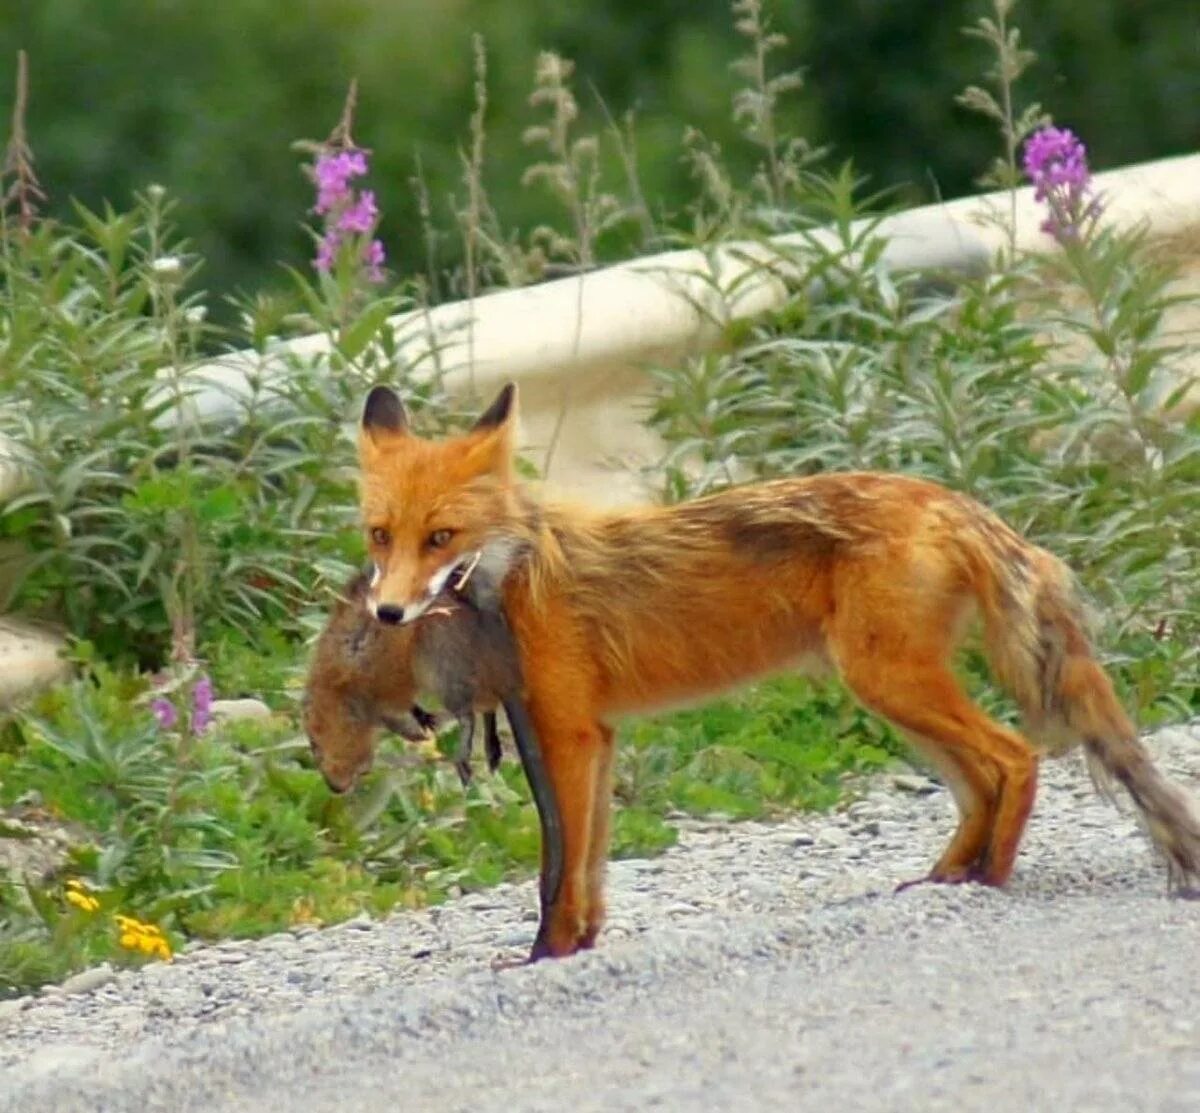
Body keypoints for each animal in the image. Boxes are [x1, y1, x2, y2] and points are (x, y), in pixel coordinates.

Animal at [352, 381, 1200, 954]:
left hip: (890, 683)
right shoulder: (594, 735)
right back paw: (948, 875)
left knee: (1016, 756)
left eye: (441, 537)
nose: (386, 613)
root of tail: (952, 501)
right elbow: (585, 866)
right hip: (894, 695)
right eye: (379, 535)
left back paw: (989, 878)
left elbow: (561, 873)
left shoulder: (567, 732)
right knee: (982, 781)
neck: (521, 573)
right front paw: (575, 947)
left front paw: (551, 953)